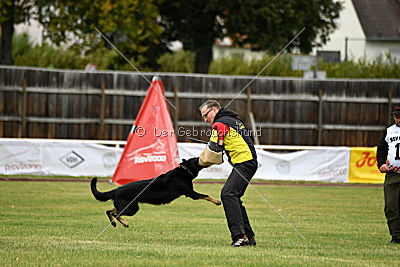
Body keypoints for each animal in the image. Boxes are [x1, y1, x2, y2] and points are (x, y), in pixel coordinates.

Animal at [90, 157, 220, 228]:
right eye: (196, 159)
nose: (201, 157)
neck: (185, 171)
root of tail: (115, 190)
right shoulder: (191, 194)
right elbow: (206, 196)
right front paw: (217, 201)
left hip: (129, 206)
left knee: (110, 211)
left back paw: (115, 223)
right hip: (131, 208)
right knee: (116, 213)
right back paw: (124, 222)